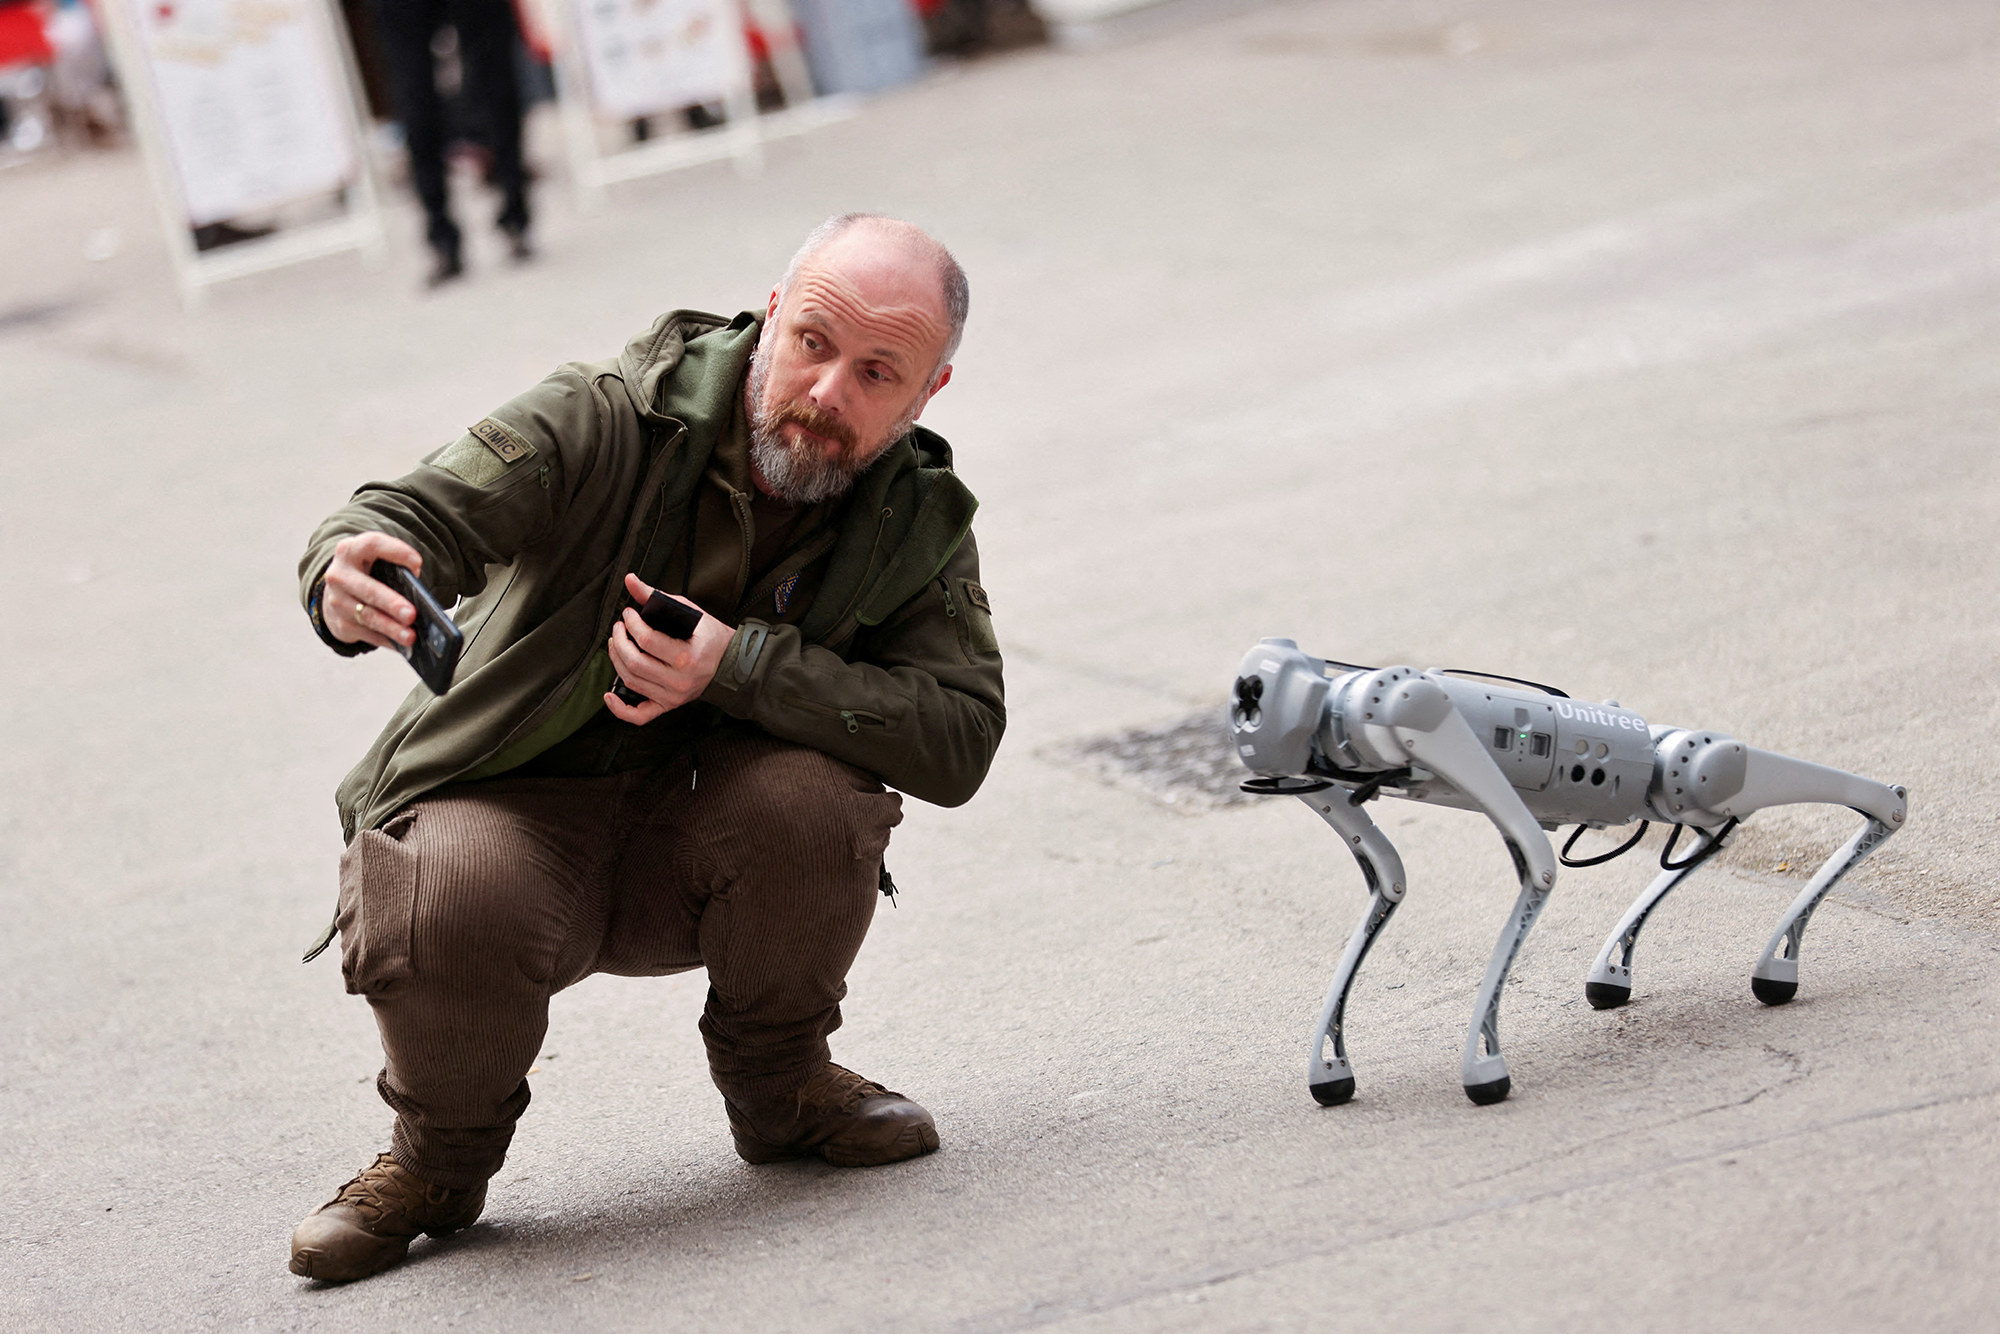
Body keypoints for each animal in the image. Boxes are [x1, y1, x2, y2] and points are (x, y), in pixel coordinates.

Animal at [1232, 640, 1904, 1112]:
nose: (1251, 697)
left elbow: (1540, 871)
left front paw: (1485, 1070)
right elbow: (1390, 879)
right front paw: (1330, 1068)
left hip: (1689, 772)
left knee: (1850, 800)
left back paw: (1783, 955)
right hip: (1678, 797)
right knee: (1710, 835)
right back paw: (1620, 969)